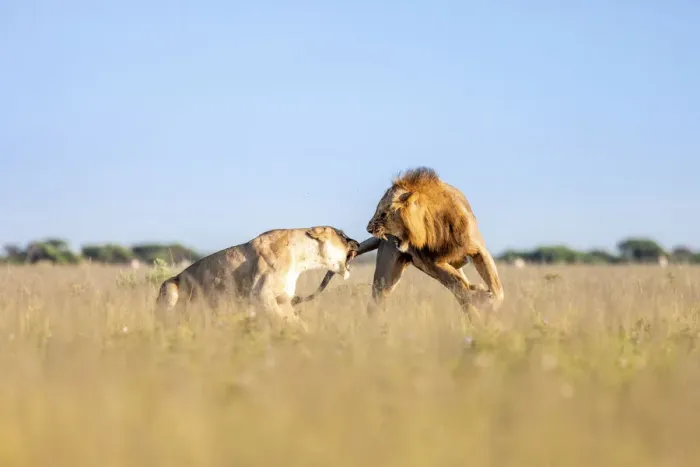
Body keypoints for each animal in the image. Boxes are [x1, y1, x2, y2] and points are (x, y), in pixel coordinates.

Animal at [155, 226, 360, 329]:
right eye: (342, 235)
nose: (358, 243)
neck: (302, 258)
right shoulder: (260, 294)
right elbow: (283, 321)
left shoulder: (283, 299)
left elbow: (296, 322)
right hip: (169, 287)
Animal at [297, 167, 504, 316]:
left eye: (383, 213)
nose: (368, 228)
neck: (435, 224)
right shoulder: (432, 262)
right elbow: (458, 284)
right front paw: (481, 299)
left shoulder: (478, 249)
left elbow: (494, 284)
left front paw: (489, 299)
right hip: (386, 277)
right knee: (377, 302)